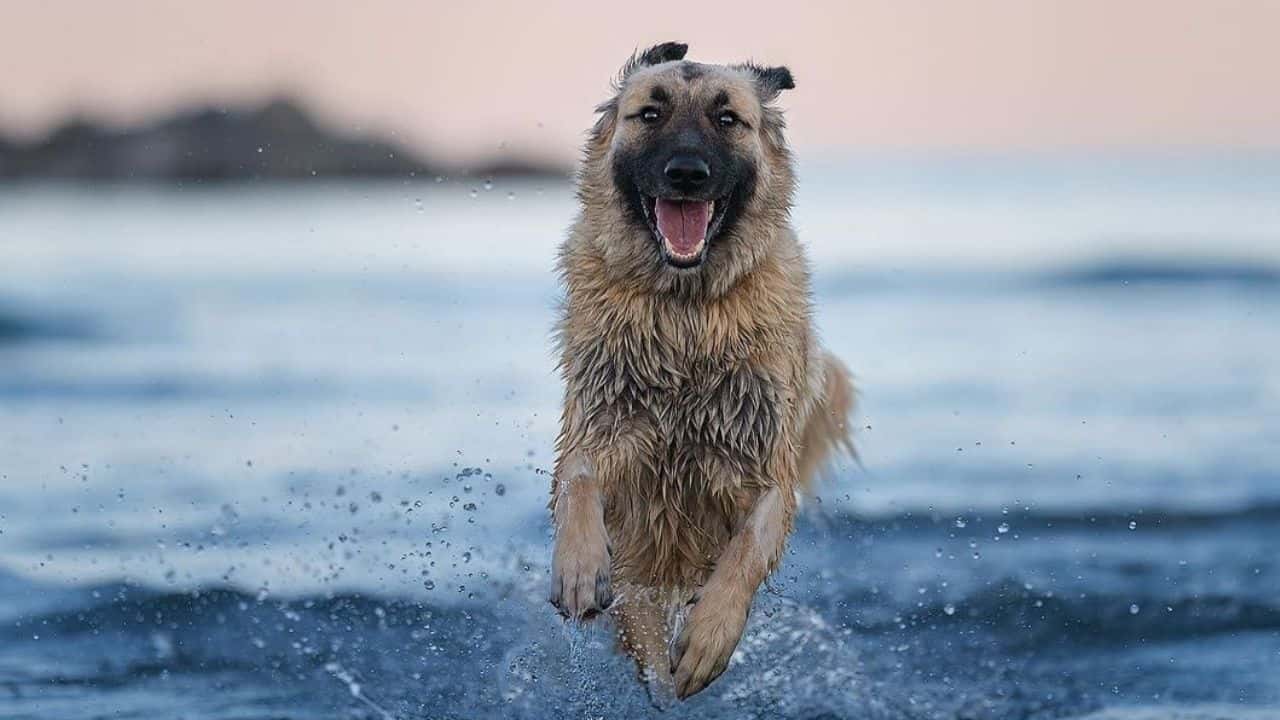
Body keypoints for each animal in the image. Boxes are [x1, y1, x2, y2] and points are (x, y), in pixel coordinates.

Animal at [547, 41, 855, 696]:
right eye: (650, 113)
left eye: (727, 118)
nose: (686, 173)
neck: (684, 314)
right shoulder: (598, 426)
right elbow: (577, 480)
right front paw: (580, 568)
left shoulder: (766, 466)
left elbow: (746, 552)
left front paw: (710, 636)